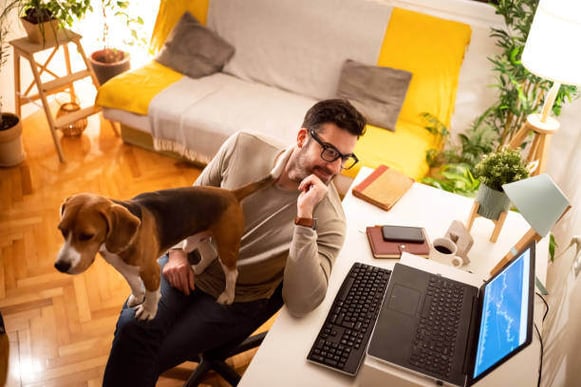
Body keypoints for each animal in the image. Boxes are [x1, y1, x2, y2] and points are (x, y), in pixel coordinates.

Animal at [55, 176, 274, 322]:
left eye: (87, 236)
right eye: (61, 230)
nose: (60, 266)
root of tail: (231, 194)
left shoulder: (151, 271)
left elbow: (152, 294)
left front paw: (148, 310)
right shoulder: (122, 267)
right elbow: (134, 284)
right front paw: (137, 296)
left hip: (226, 246)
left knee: (232, 273)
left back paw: (228, 296)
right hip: (195, 238)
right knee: (209, 254)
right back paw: (198, 269)